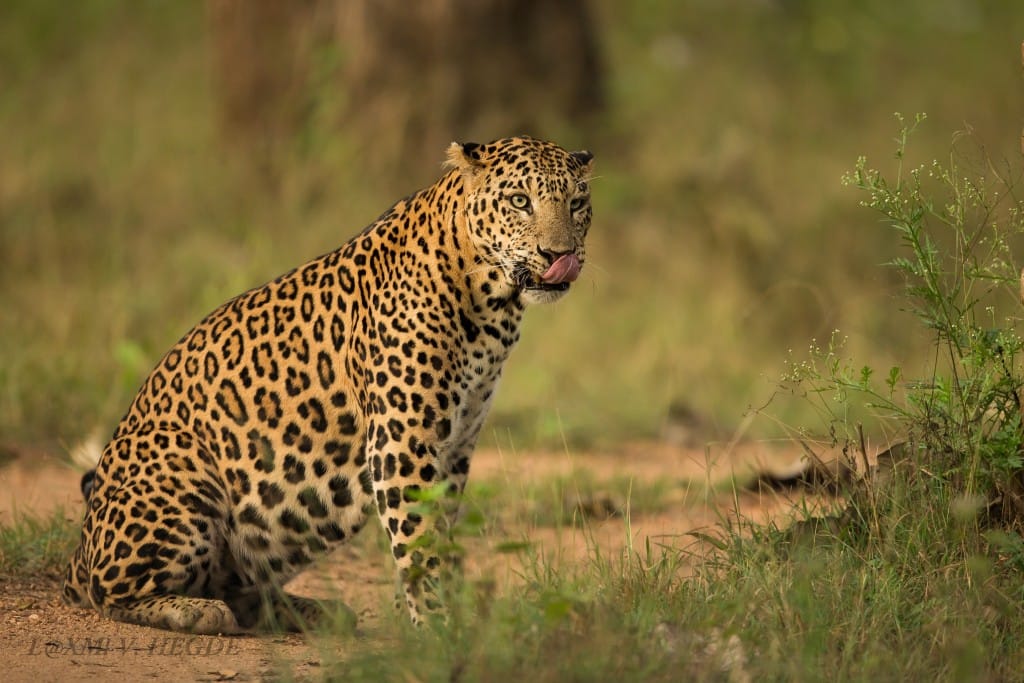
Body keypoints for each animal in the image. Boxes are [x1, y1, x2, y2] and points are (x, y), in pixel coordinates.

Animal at [62, 136, 594, 634]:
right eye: (520, 201)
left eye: (577, 203)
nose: (560, 254)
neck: (493, 304)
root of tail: (79, 550)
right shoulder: (403, 442)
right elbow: (419, 542)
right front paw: (440, 629)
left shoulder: (457, 446)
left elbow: (440, 533)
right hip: (181, 469)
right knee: (110, 591)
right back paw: (194, 611)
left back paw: (310, 611)